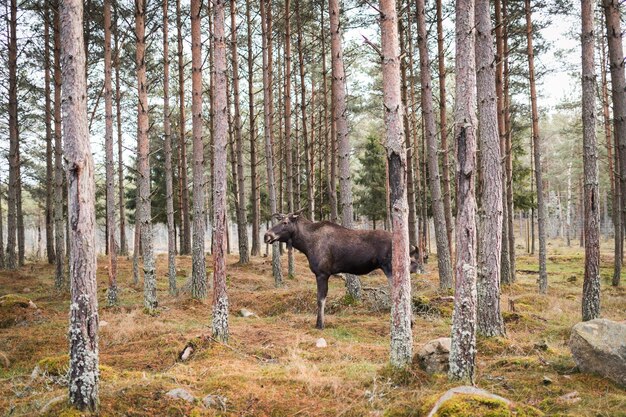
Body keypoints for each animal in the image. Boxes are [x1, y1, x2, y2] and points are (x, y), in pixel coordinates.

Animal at [264, 210, 420, 330]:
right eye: (279, 220)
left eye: (285, 222)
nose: (267, 235)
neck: (306, 244)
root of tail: (408, 247)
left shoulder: (322, 273)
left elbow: (320, 299)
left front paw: (320, 324)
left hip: (390, 268)